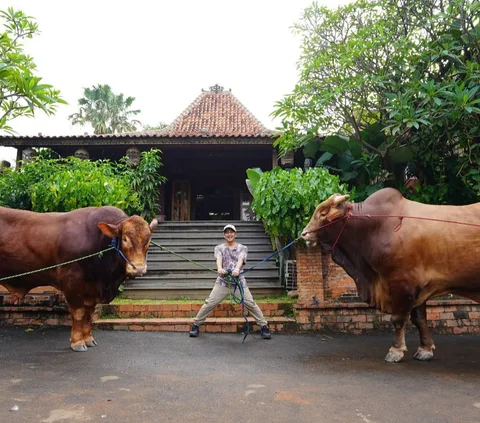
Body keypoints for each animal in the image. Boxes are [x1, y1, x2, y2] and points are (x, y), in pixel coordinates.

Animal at [0, 207, 158, 352]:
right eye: (125, 239)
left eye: (148, 240)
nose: (138, 268)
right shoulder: (72, 282)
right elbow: (79, 312)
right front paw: (77, 342)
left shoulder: (92, 289)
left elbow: (89, 314)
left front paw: (88, 338)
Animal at [302, 190, 480, 362]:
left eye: (323, 213)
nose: (304, 234)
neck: (373, 227)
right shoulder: (419, 287)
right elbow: (420, 319)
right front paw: (425, 349)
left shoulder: (401, 283)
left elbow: (398, 319)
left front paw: (396, 351)